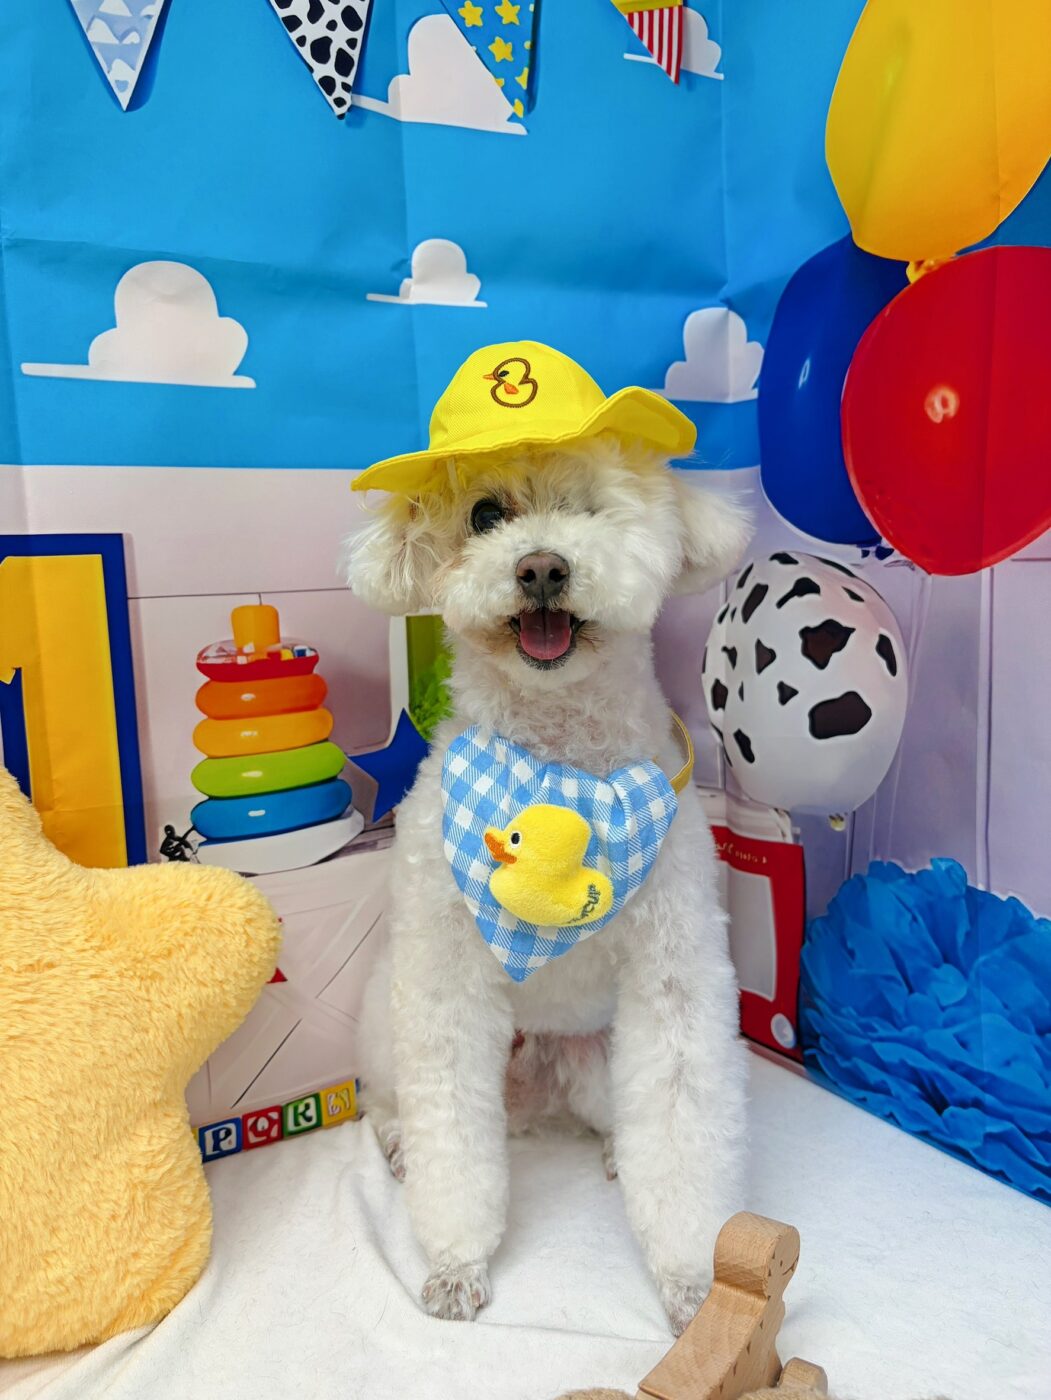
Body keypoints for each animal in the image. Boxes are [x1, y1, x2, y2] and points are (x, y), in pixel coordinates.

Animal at [347, 352, 751, 1334]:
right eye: (485, 516)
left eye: (587, 510)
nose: (539, 567)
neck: (561, 768)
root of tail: (538, 1105)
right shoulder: (442, 985)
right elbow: (451, 1130)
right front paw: (455, 1260)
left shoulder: (675, 979)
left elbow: (682, 1126)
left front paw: (693, 1278)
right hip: (386, 1016)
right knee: (392, 1098)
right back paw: (397, 1141)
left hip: (600, 1061)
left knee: (619, 1118)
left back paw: (607, 1152)